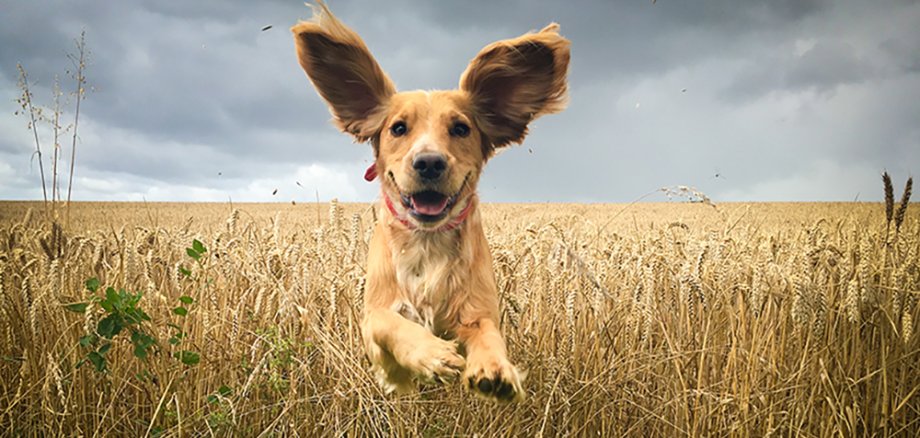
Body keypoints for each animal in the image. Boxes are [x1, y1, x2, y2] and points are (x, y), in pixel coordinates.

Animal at [292, 1, 568, 402]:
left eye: (461, 128)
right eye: (398, 128)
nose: (429, 162)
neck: (427, 242)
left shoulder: (478, 310)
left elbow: (489, 336)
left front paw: (495, 370)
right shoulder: (372, 317)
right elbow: (391, 324)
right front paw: (432, 355)